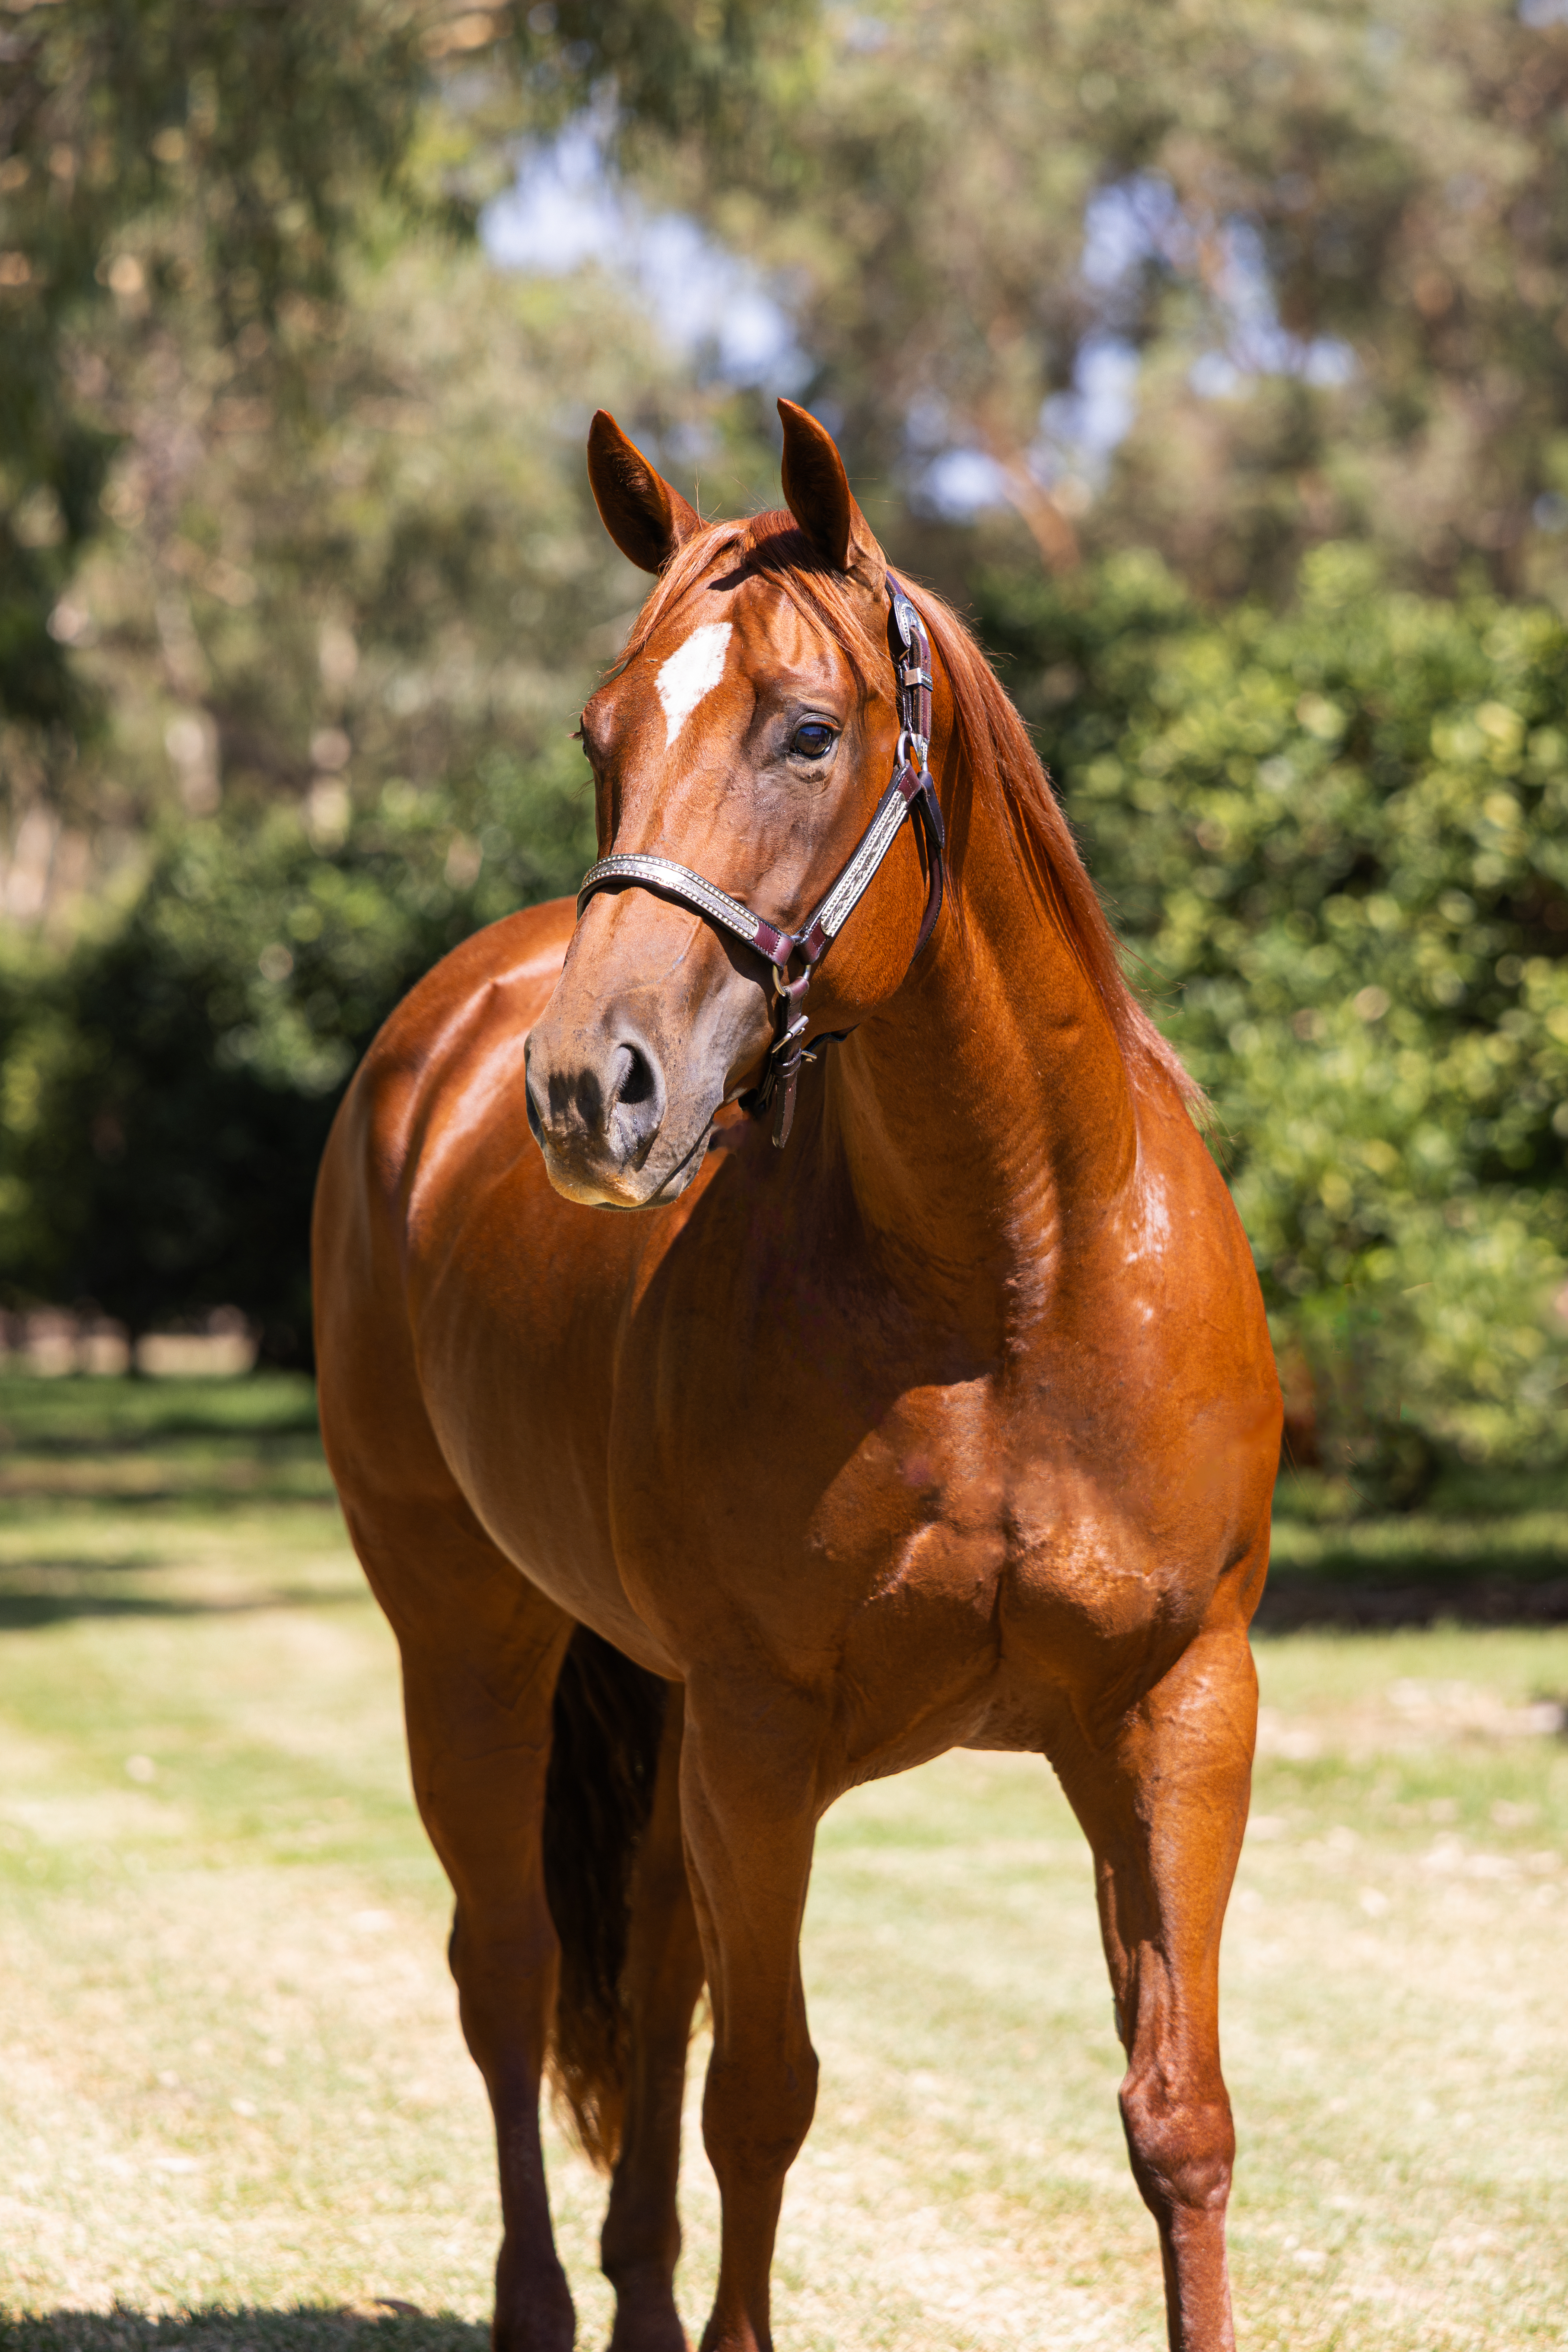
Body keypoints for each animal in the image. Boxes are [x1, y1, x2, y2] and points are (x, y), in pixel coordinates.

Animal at [312, 398, 1281, 2352]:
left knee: (647, 1969)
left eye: (806, 730)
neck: (1010, 1279)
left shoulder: (1175, 1707)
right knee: (510, 1966)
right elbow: (764, 2091)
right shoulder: (764, 1739)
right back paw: (545, 2303)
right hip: (470, 1640)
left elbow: (1177, 2116)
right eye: (599, 736)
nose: (585, 1088)